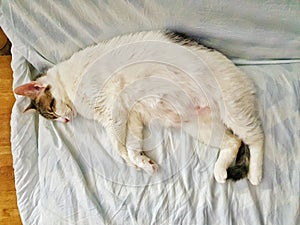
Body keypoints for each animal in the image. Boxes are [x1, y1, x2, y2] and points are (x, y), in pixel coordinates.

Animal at [14, 29, 264, 185]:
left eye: (52, 108)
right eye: (54, 117)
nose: (65, 120)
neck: (69, 82)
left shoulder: (113, 106)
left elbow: (117, 144)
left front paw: (130, 161)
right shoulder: (132, 115)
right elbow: (133, 145)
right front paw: (142, 162)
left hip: (232, 109)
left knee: (256, 138)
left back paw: (255, 175)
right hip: (200, 126)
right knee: (233, 141)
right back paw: (220, 171)